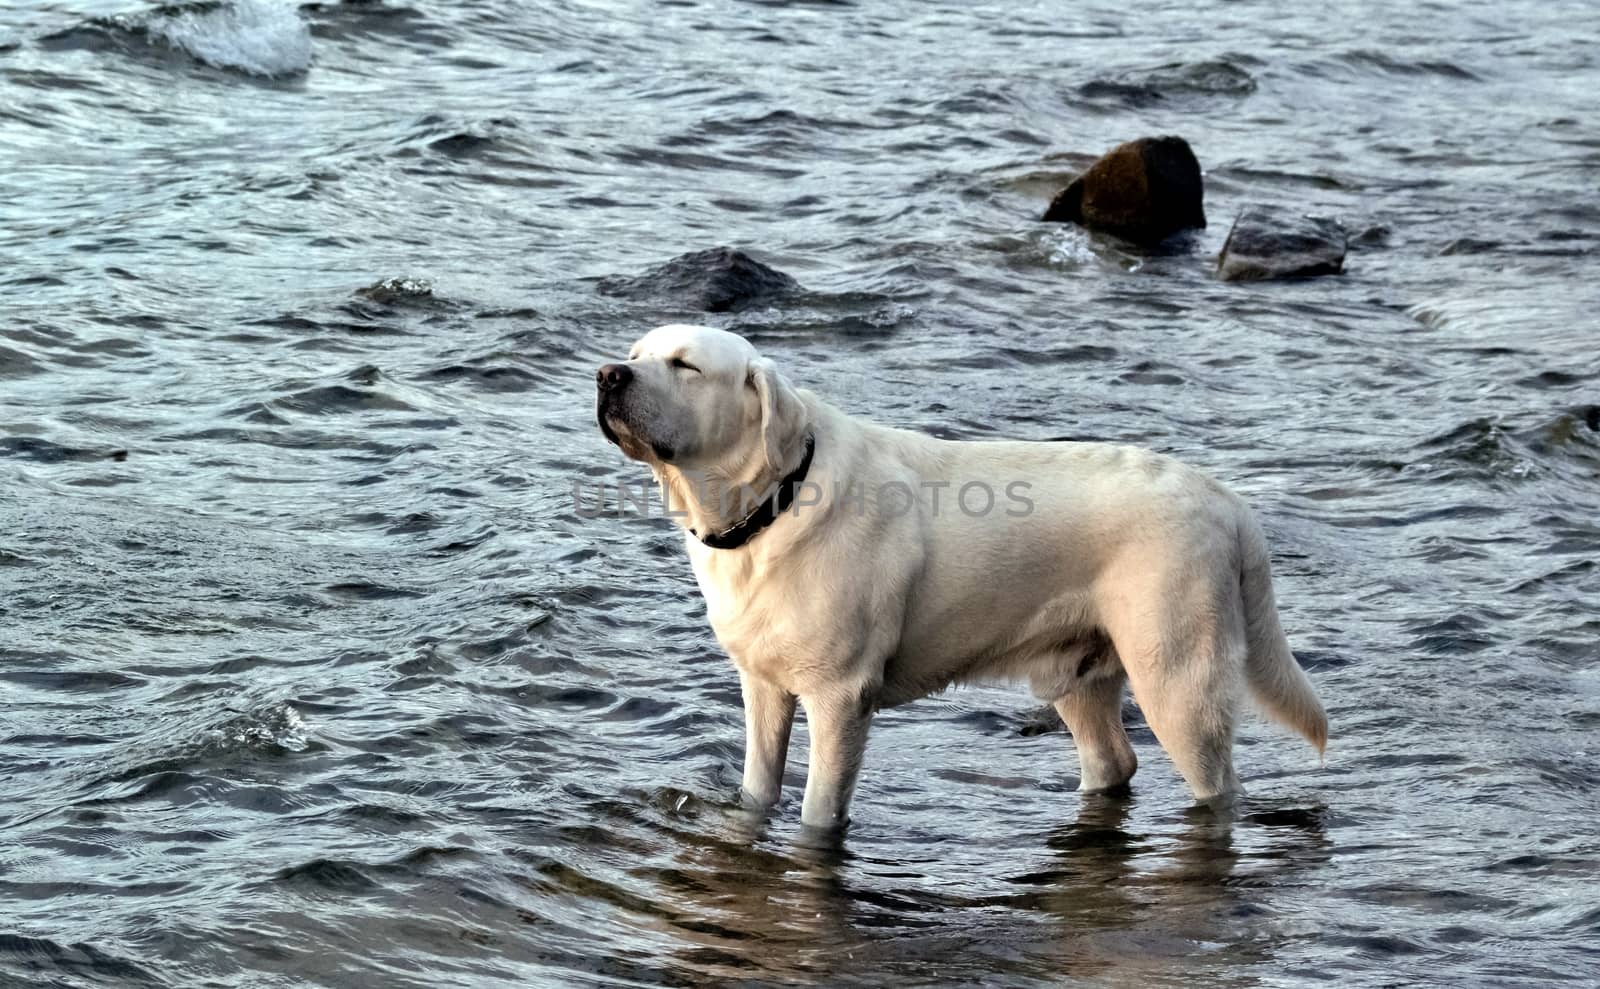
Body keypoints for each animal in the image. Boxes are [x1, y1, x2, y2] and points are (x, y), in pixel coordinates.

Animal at [598, 328, 1324, 825]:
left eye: (685, 365)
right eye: (636, 351)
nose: (608, 375)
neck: (772, 501)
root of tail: (1225, 498)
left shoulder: (841, 696)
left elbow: (818, 811)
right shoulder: (764, 684)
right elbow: (757, 788)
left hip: (1176, 680)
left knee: (1217, 785)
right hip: (1075, 672)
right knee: (1114, 759)